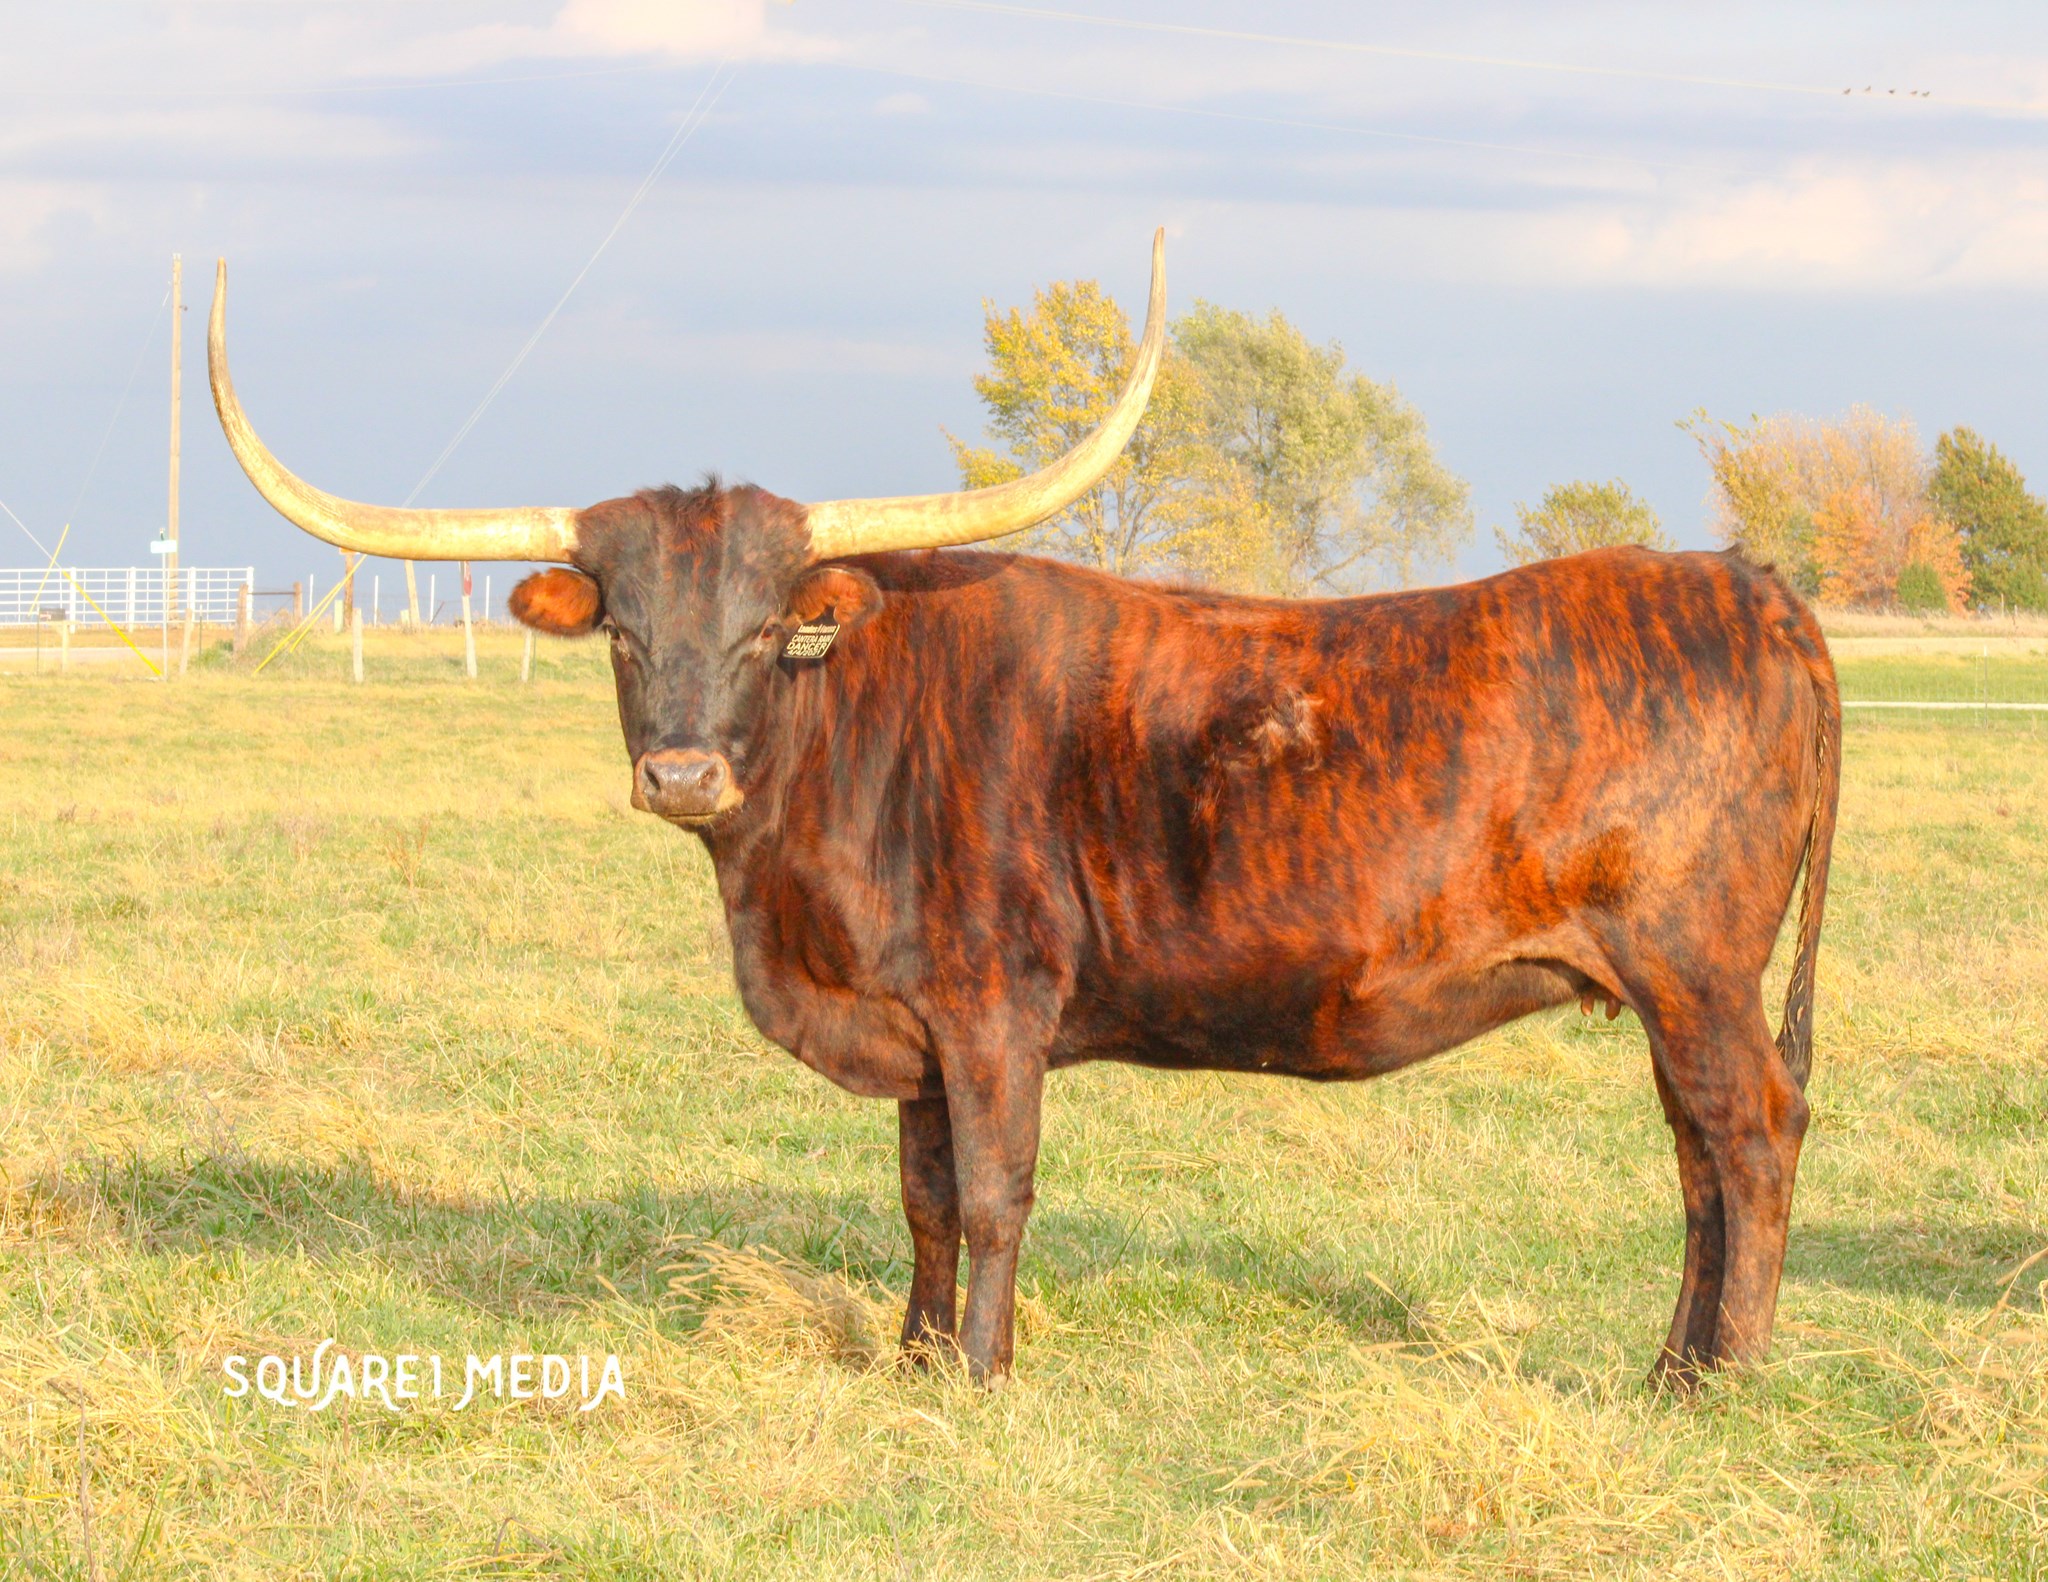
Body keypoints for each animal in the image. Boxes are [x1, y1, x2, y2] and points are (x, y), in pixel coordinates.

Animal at [207, 234, 1840, 1386]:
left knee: (1750, 1135)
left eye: (772, 629)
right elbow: (924, 1197)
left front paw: (984, 1376)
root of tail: (1744, 583)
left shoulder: (994, 1008)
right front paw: (917, 1363)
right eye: (621, 630)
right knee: (1699, 1157)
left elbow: (995, 1192)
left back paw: (1717, 1380)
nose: (681, 775)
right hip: (1674, 982)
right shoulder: (919, 1030)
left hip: (1694, 967)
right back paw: (1672, 1362)